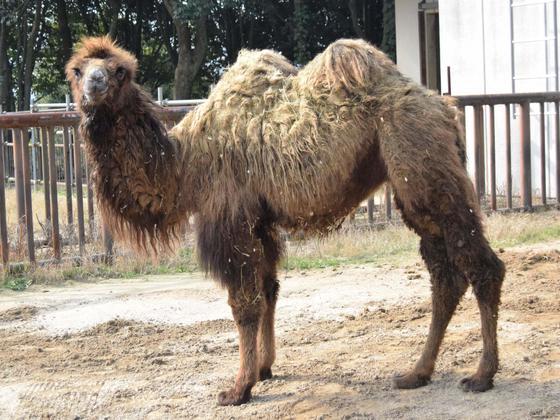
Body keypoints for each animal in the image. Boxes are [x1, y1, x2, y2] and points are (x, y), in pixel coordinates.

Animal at [66, 37, 508, 406]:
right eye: (77, 70)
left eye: (120, 71)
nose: (95, 85)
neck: (185, 164)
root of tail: (444, 109)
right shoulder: (260, 221)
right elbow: (269, 290)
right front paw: (264, 368)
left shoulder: (229, 217)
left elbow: (244, 303)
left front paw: (238, 388)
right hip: (414, 183)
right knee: (444, 274)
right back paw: (417, 373)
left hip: (421, 162)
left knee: (482, 266)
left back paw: (481, 375)